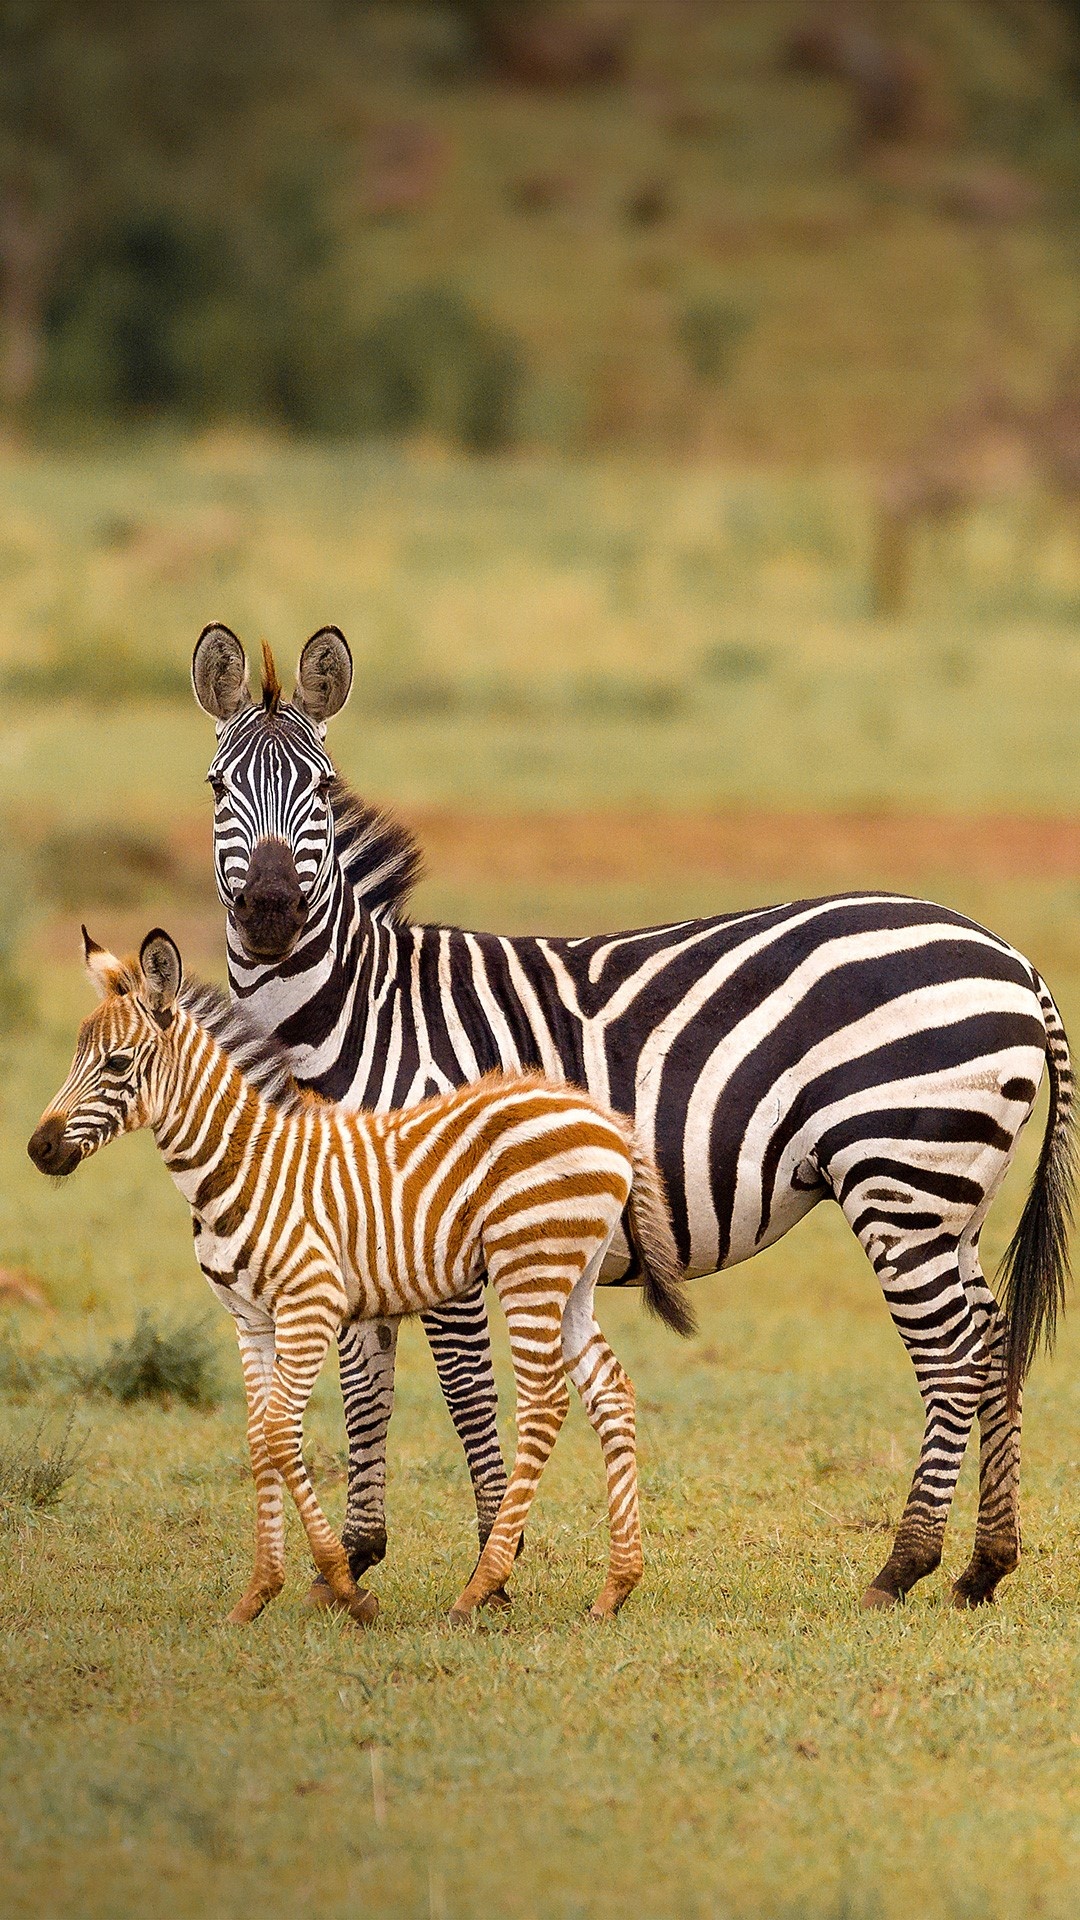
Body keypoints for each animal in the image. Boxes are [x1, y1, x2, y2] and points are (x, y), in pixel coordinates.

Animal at [31, 925, 687, 1620]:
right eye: (76, 1056)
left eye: (117, 1064)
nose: (38, 1149)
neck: (242, 1165)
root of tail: (606, 1120)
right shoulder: (251, 1320)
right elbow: (260, 1440)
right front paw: (257, 1595)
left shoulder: (310, 1306)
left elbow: (279, 1435)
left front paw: (344, 1587)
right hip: (572, 1278)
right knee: (610, 1391)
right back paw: (616, 1587)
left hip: (529, 1266)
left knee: (543, 1403)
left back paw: (480, 1588)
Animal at [189, 625, 1068, 1605]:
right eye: (218, 787)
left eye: (321, 789)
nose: (271, 914)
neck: (355, 1014)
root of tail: (1012, 958)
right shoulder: (353, 1223)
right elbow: (364, 1386)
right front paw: (353, 1559)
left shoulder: (439, 1227)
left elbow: (463, 1390)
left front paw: (491, 1565)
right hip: (953, 1190)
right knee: (993, 1340)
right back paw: (985, 1563)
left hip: (900, 1176)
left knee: (952, 1357)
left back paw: (904, 1564)